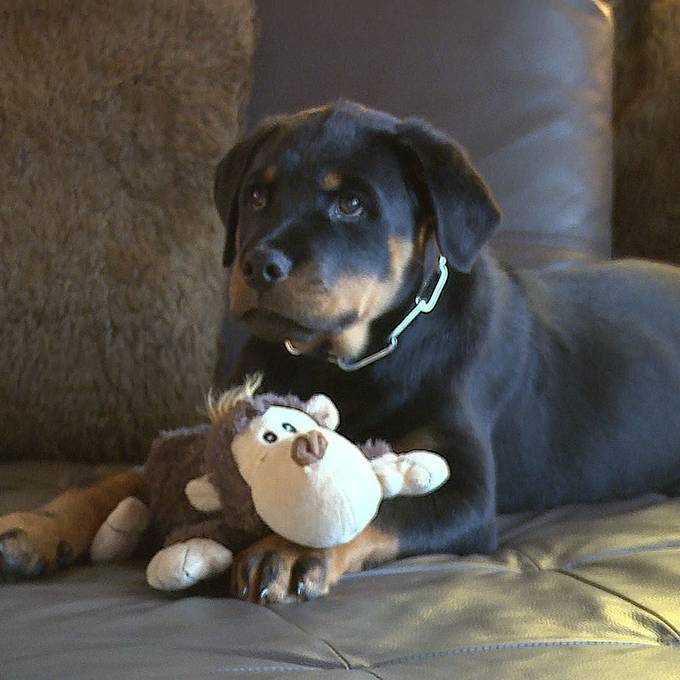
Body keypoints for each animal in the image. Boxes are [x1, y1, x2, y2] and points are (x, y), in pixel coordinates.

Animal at [1, 101, 680, 604]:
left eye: (351, 204)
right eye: (255, 197)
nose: (258, 264)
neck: (346, 359)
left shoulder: (464, 487)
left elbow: (376, 503)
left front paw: (289, 547)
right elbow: (119, 479)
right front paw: (36, 526)